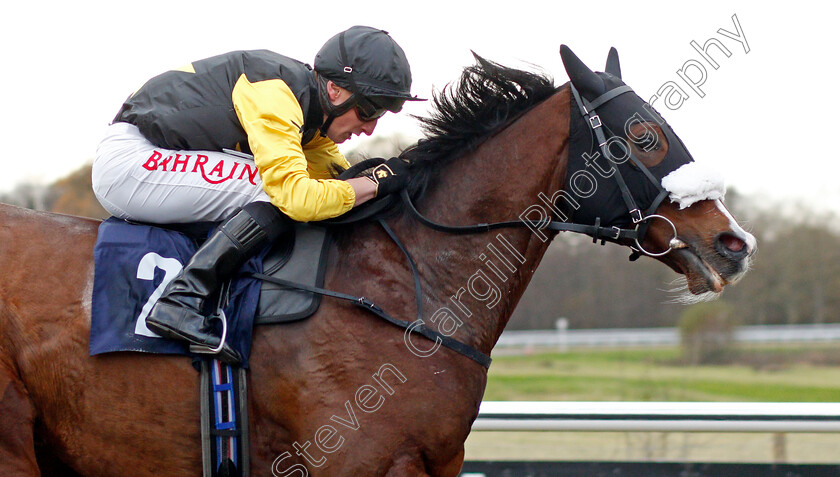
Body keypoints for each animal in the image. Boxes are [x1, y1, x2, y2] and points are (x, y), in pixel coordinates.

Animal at [0, 46, 756, 474]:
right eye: (645, 136)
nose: (733, 243)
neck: (402, 284)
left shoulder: (438, 461)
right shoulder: (348, 457)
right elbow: (287, 185)